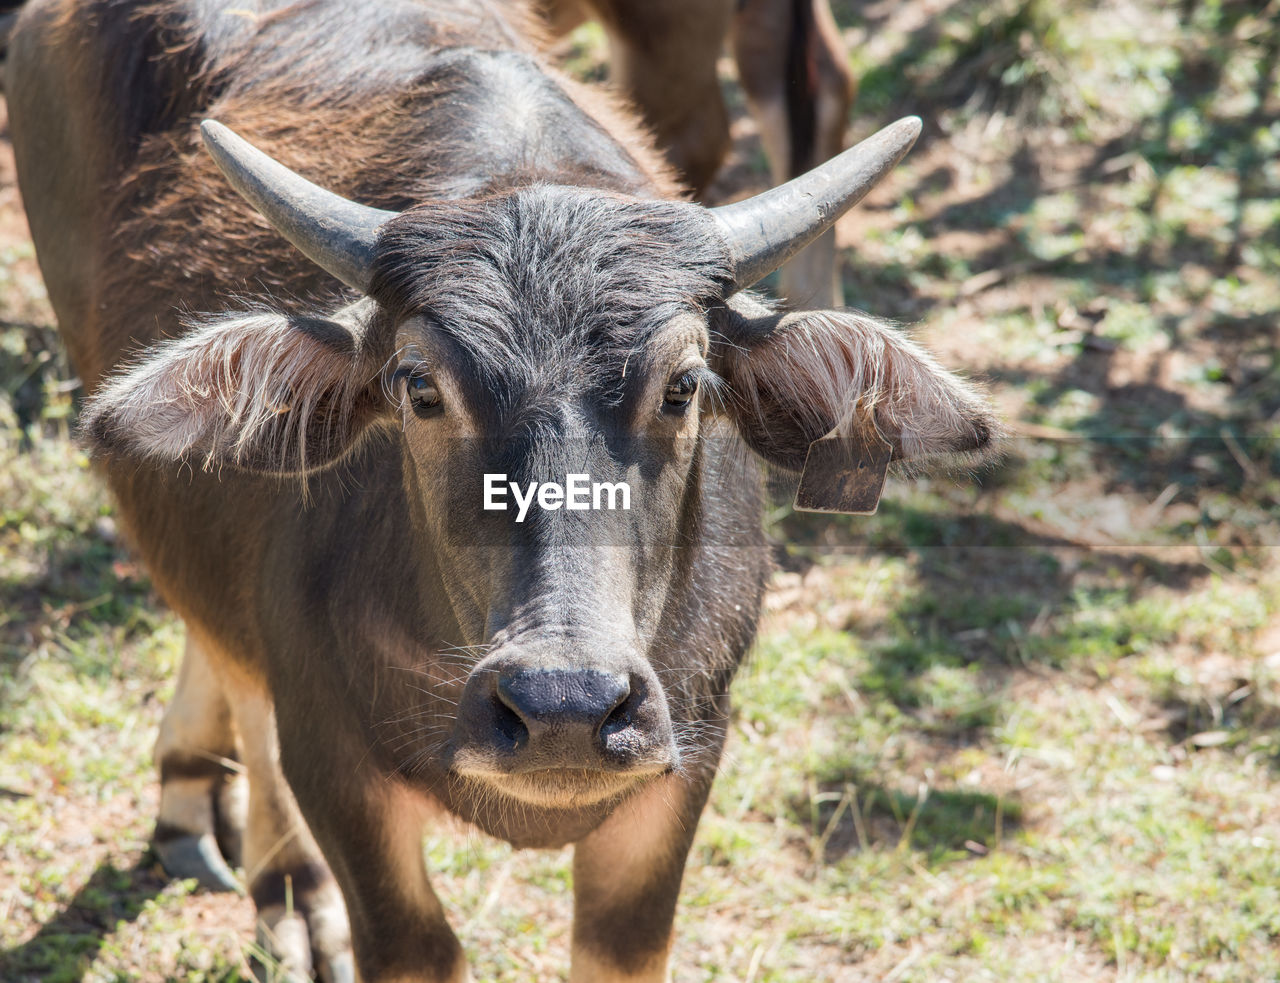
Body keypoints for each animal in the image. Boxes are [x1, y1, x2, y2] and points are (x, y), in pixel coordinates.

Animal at [5, 1, 993, 983]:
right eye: (419, 387)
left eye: (683, 385)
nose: (565, 706)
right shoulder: (334, 763)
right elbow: (415, 942)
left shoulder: (686, 764)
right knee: (224, 638)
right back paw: (284, 880)